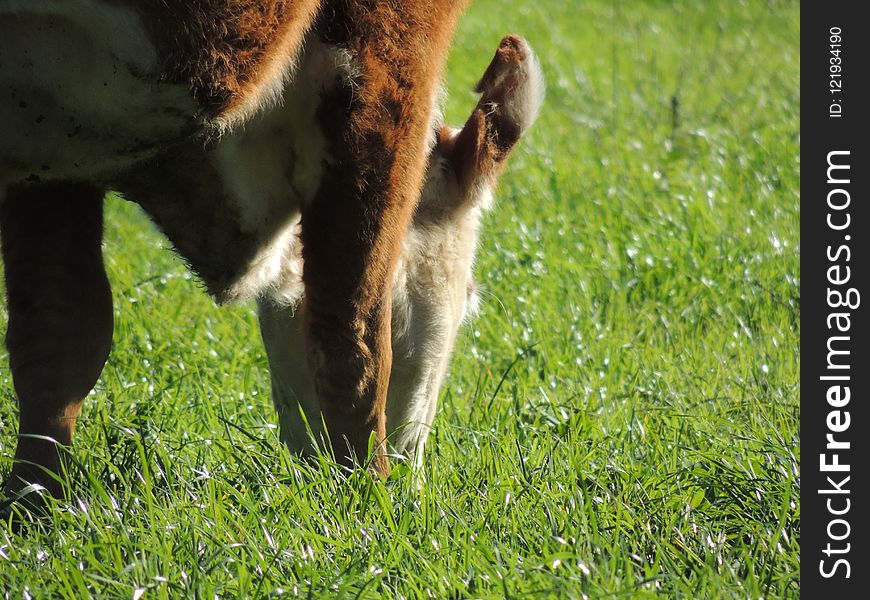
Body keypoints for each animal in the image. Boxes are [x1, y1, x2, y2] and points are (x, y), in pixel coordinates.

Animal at [0, 0, 540, 502]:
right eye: (469, 300)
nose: (410, 476)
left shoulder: (52, 149)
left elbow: (63, 332)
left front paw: (35, 502)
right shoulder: (387, 63)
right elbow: (357, 339)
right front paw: (367, 501)